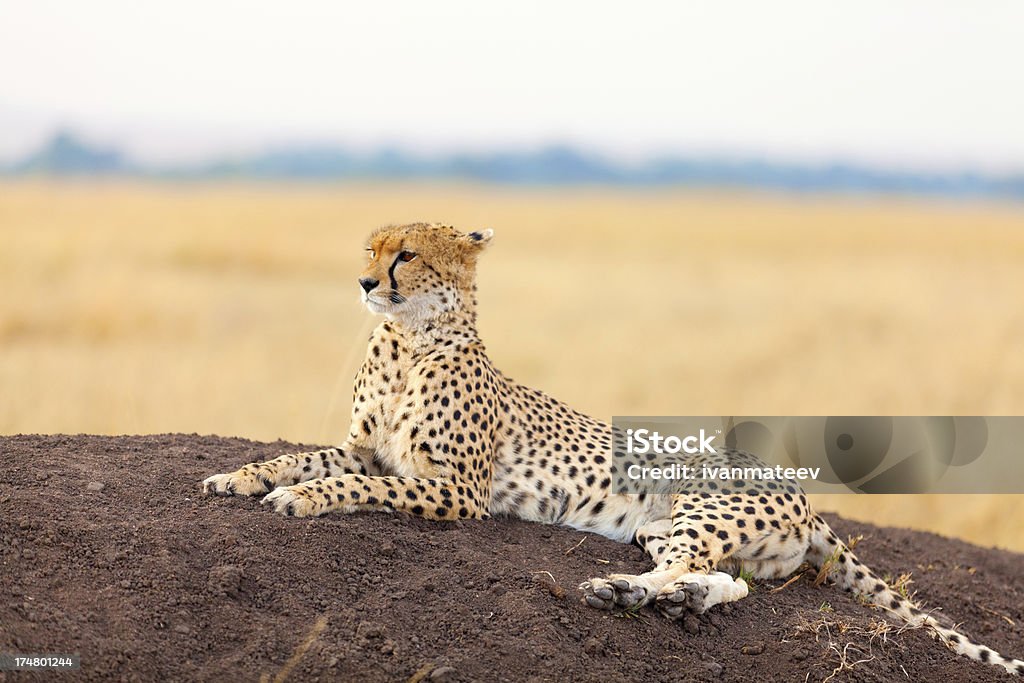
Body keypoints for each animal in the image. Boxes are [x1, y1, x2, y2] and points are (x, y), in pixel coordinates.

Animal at [203, 224, 1024, 679]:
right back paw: (653, 597)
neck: (407, 338)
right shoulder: (366, 451)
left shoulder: (455, 492)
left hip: (696, 509)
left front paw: (300, 499)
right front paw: (237, 476)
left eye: (405, 254)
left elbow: (356, 489)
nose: (365, 280)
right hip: (670, 529)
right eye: (369, 249)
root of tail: (801, 495)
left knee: (689, 570)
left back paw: (618, 592)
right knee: (720, 580)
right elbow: (307, 460)